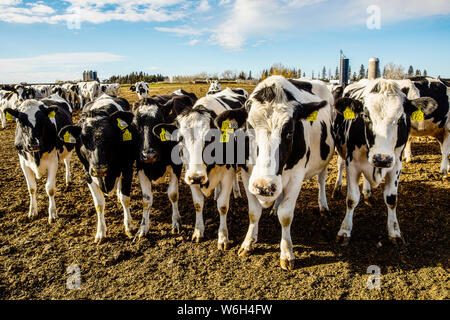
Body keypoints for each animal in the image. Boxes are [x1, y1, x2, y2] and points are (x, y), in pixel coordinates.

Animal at [59, 94, 138, 241]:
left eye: (110, 137)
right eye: (83, 140)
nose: (99, 169)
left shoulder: (127, 168)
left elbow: (125, 198)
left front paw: (129, 226)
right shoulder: (88, 174)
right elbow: (99, 204)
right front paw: (101, 232)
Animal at [133, 91, 198, 236]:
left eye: (159, 121)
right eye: (135, 125)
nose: (149, 154)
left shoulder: (176, 166)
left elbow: (173, 194)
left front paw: (176, 222)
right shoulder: (141, 167)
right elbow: (146, 199)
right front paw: (143, 227)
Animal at [154, 87, 248, 248]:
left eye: (211, 138)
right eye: (180, 138)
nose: (197, 177)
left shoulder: (227, 175)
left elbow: (223, 205)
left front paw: (223, 237)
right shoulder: (189, 174)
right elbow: (198, 204)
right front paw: (198, 231)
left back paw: (236, 192)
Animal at [216, 76, 336, 268]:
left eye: (290, 131)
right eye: (248, 127)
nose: (264, 187)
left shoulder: (296, 177)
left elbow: (285, 216)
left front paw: (286, 253)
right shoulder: (248, 175)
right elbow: (254, 213)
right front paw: (248, 243)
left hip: (325, 159)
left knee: (321, 179)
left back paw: (323, 205)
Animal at [332, 79, 438, 245]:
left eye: (401, 118)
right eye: (365, 116)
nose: (381, 158)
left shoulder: (396, 165)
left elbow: (391, 199)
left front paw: (394, 231)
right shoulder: (352, 164)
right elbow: (351, 199)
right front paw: (345, 231)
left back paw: (368, 194)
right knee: (340, 164)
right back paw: (337, 188)